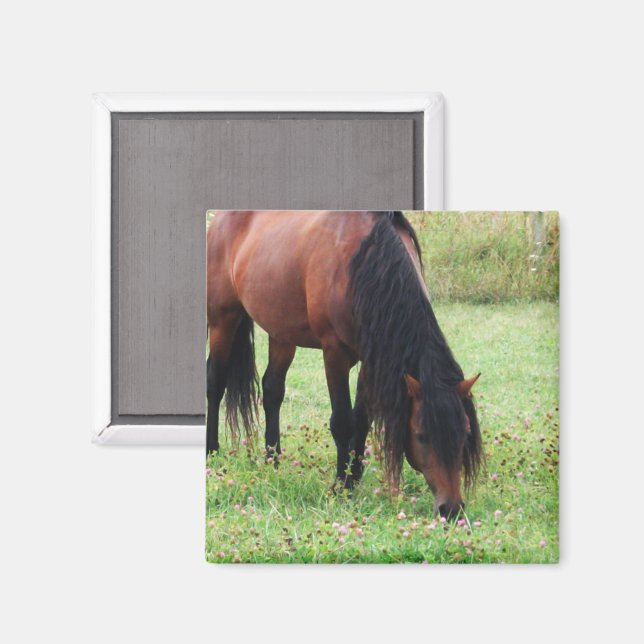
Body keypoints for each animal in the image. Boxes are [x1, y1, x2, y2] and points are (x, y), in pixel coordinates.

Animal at [206, 210, 482, 518]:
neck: (363, 265)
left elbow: (362, 419)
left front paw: (355, 475)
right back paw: (212, 452)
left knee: (272, 390)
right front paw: (341, 485)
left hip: (281, 333)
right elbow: (342, 421)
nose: (451, 508)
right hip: (223, 320)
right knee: (215, 383)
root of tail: (218, 220)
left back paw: (273, 459)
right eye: (421, 436)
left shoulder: (371, 357)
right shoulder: (334, 352)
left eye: (465, 433)